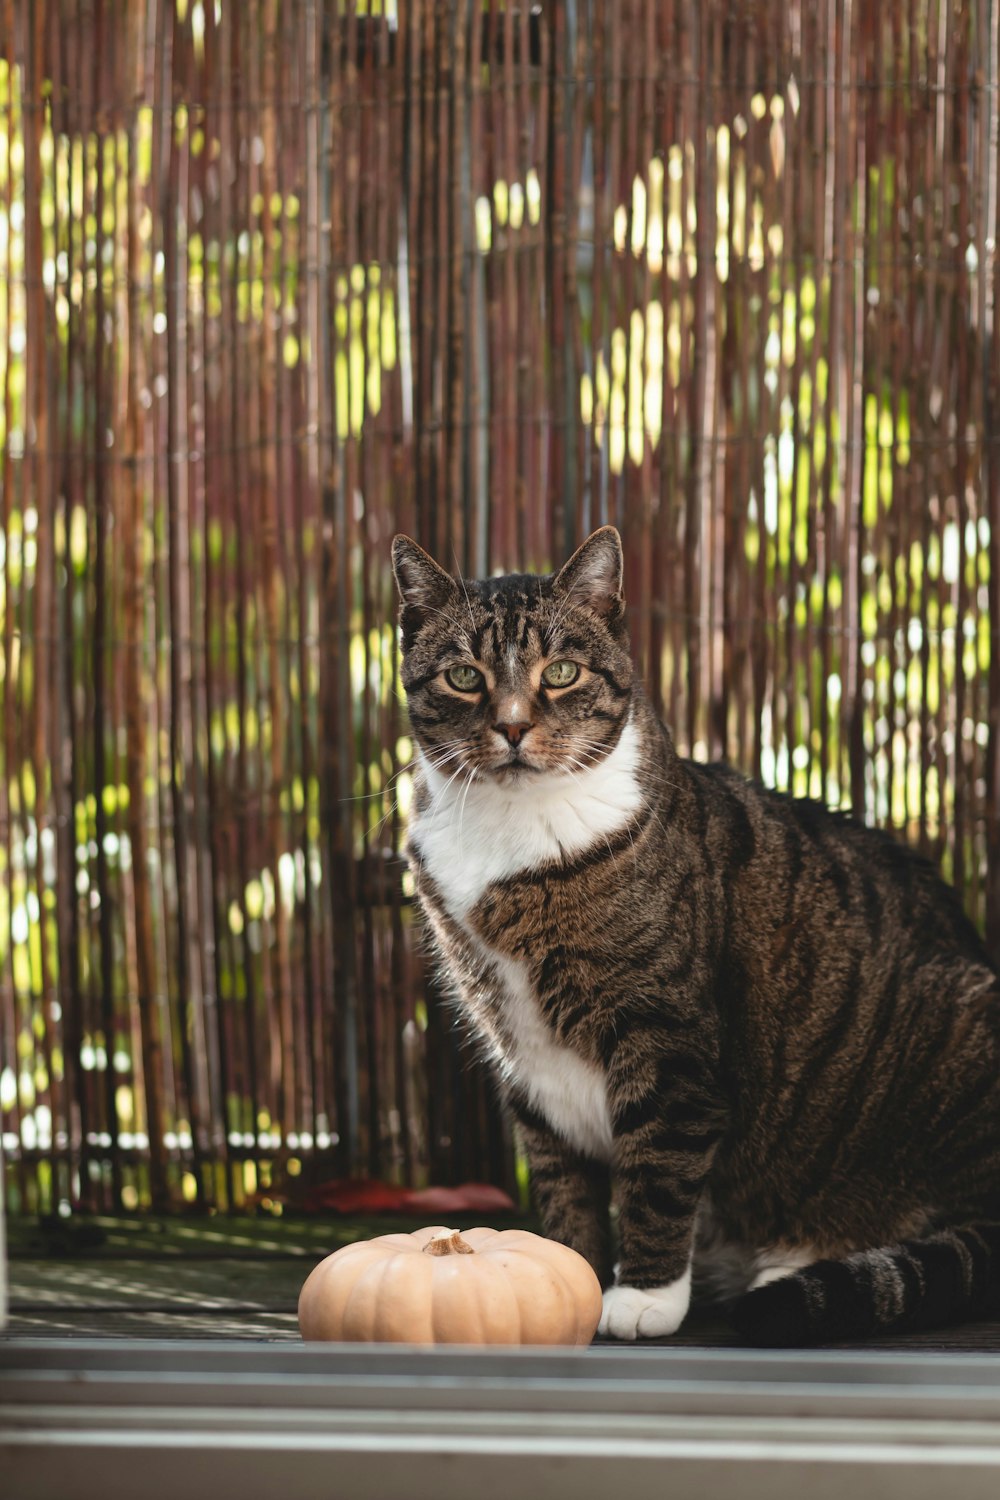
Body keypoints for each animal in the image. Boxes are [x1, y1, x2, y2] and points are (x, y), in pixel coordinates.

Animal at [389, 528, 1000, 1350]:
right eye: (463, 677)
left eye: (560, 672)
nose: (513, 727)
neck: (511, 838)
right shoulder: (524, 1058)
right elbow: (562, 1183)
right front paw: (564, 1272)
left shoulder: (665, 1035)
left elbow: (658, 1167)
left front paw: (644, 1294)